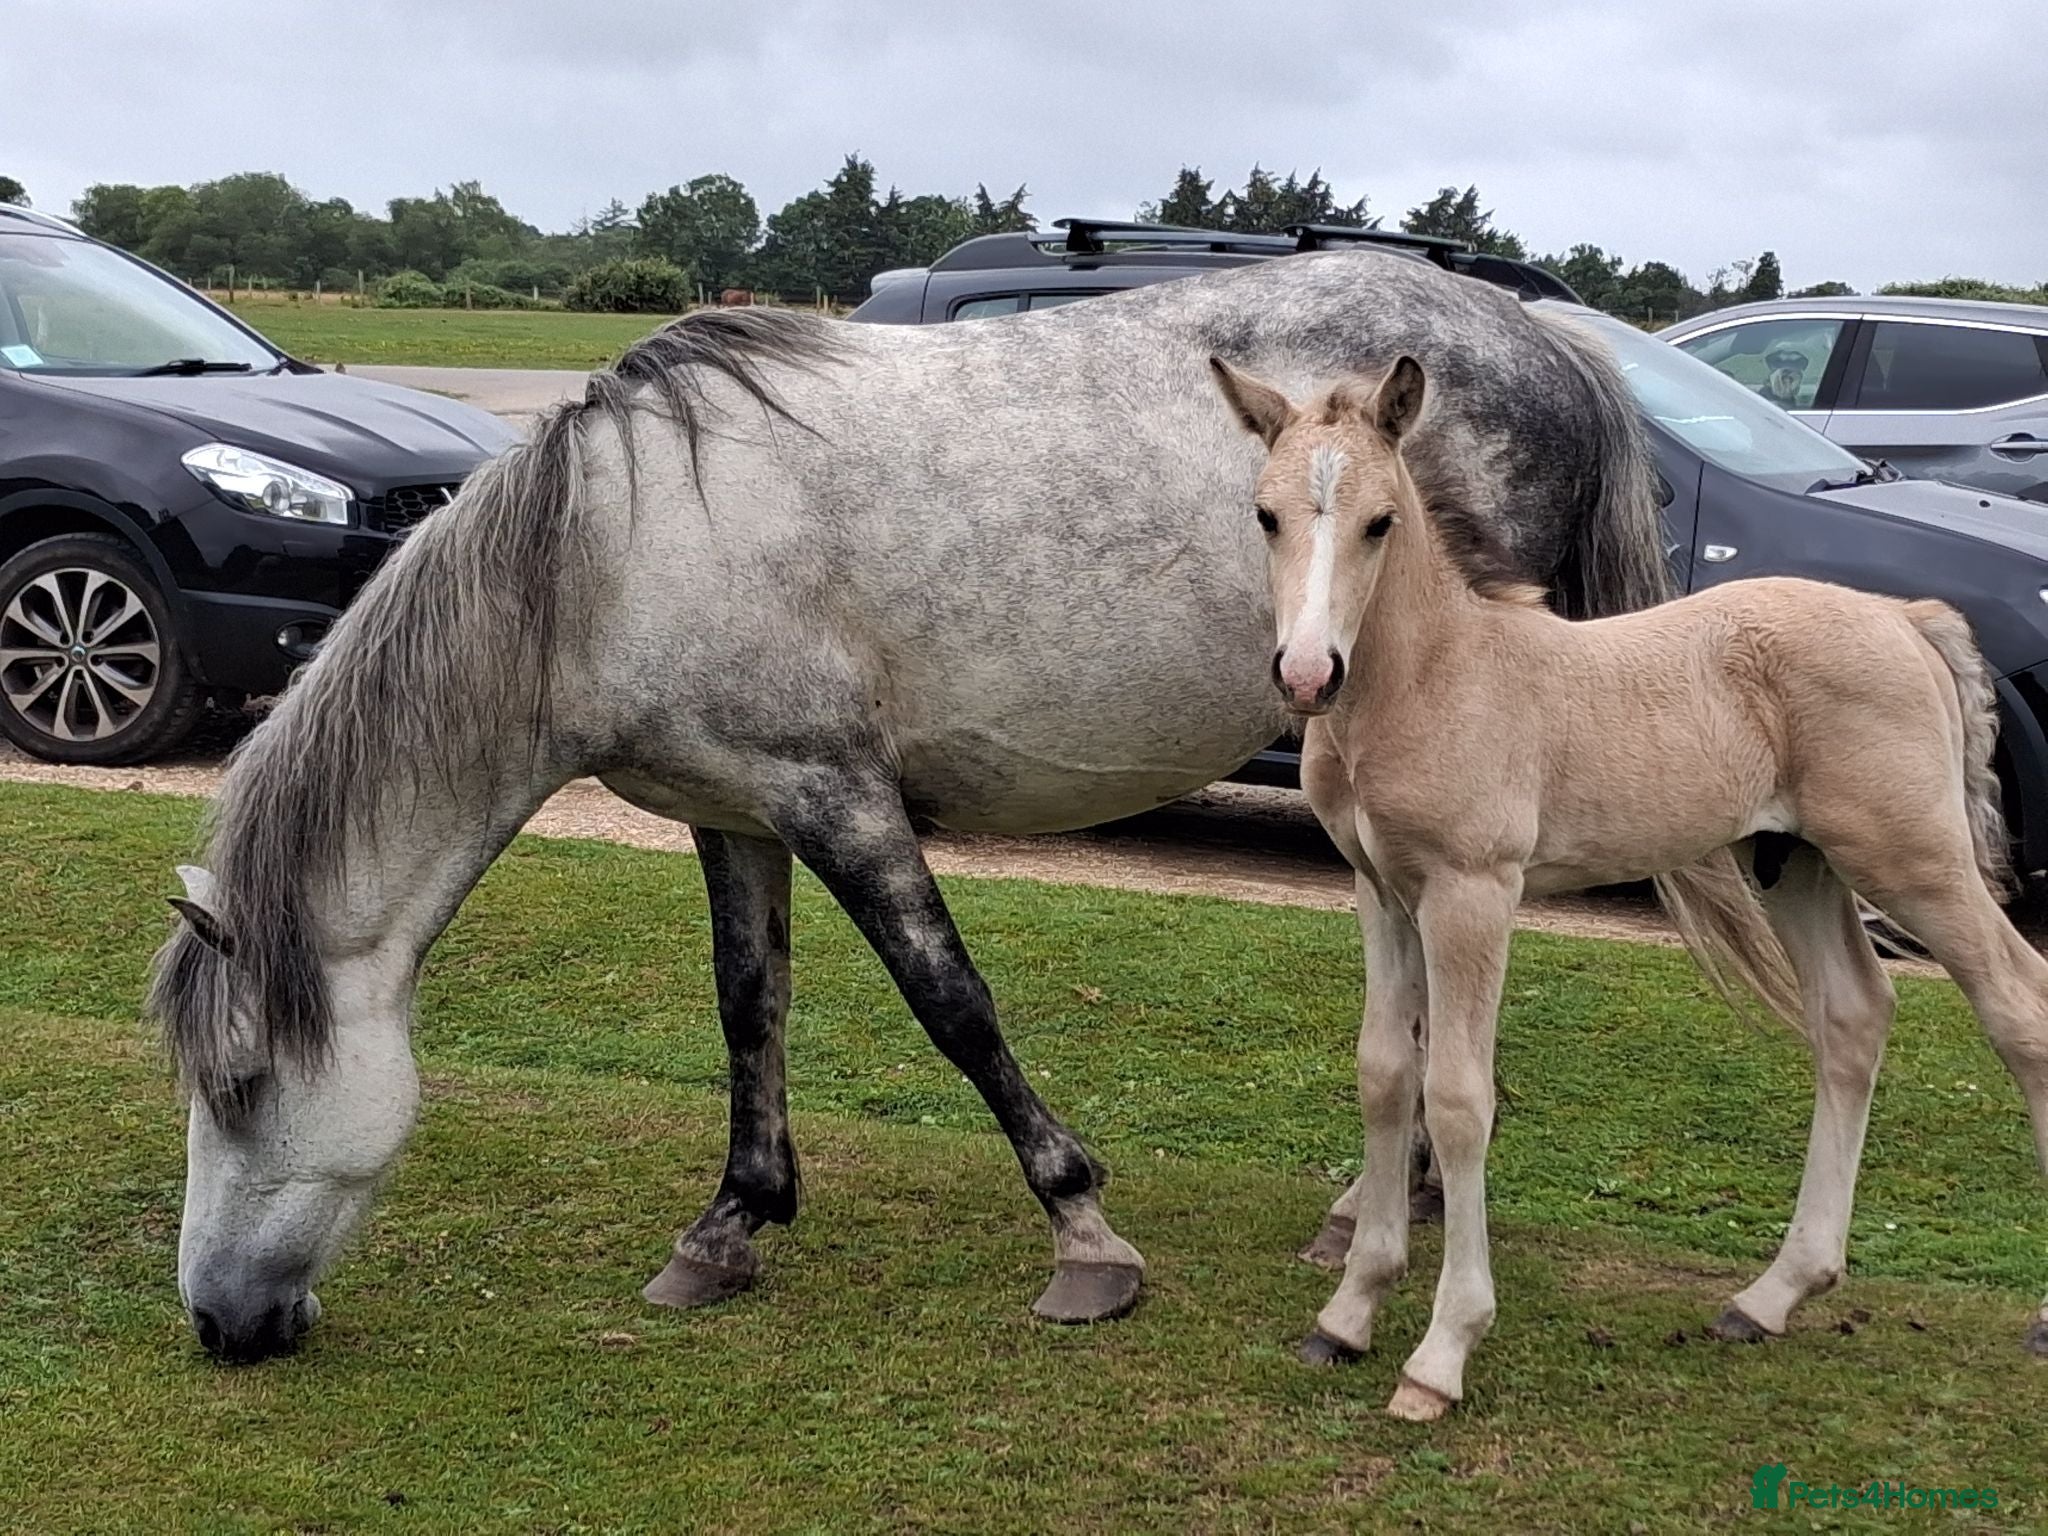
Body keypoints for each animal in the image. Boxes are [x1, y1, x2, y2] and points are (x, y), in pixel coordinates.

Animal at [147, 250, 1677, 1365]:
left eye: (241, 1084)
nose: (220, 1324)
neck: (605, 555)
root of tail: (1543, 338)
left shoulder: (838, 798)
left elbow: (951, 1003)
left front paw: (1084, 1239)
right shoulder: (735, 812)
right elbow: (747, 1006)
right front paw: (729, 1225)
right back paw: (1378, 1202)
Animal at [1209, 351, 2048, 1421]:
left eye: (1380, 523)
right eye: (1266, 515)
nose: (1309, 673)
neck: (1436, 675)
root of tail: (1906, 619)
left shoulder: (1474, 893)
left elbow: (1459, 1098)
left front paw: (1441, 1352)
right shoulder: (1383, 894)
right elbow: (1386, 1076)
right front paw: (1349, 1313)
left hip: (1915, 859)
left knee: (2021, 1007)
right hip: (1798, 864)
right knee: (1854, 1017)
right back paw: (1771, 1296)